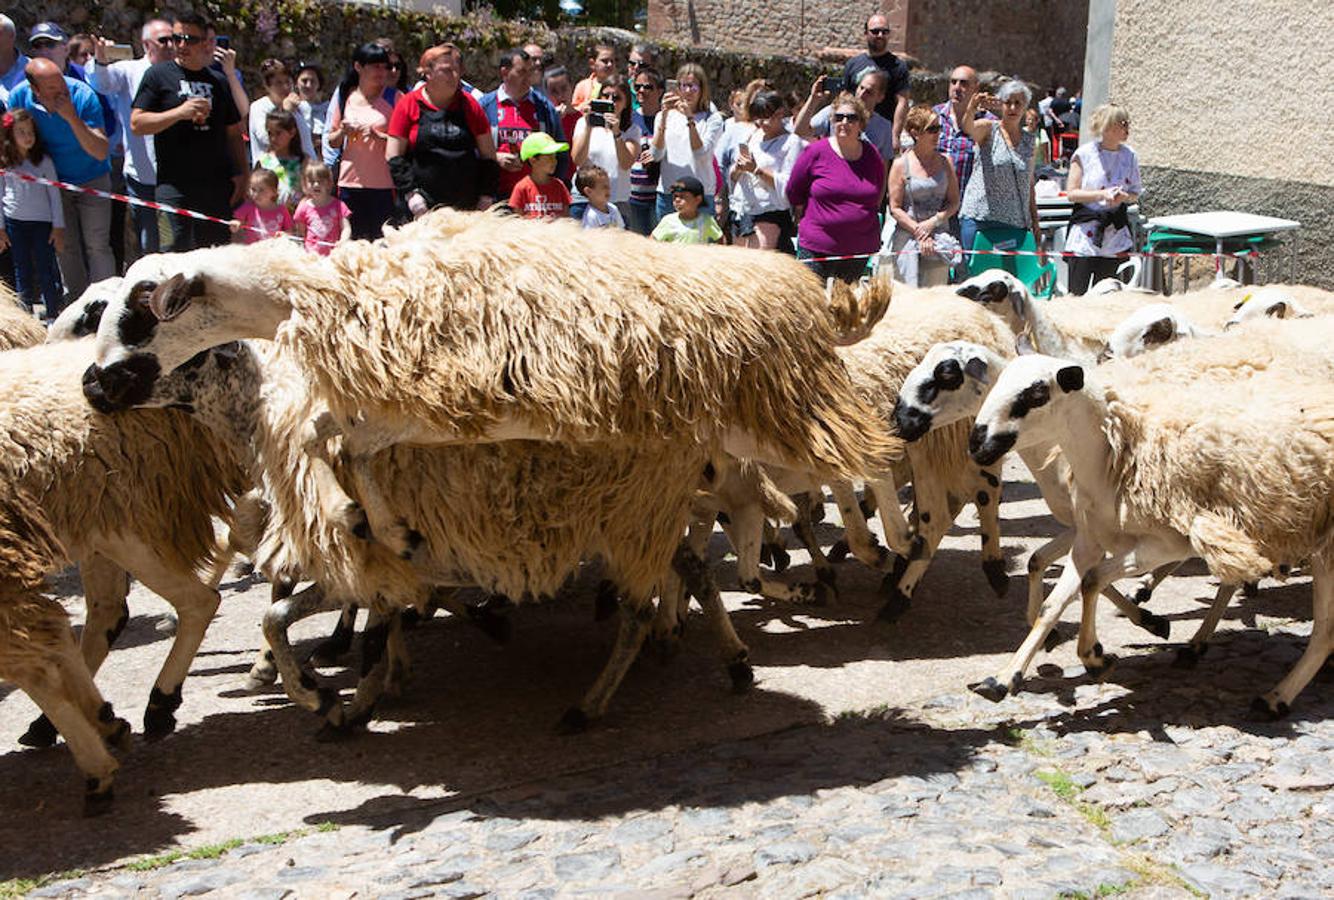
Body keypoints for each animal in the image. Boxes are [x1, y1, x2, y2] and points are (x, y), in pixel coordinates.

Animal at [965, 324, 1334, 720]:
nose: (976, 444)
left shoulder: (1166, 544)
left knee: (1323, 631)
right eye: (999, 381)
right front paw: (1004, 679)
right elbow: (1054, 601)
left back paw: (1275, 697)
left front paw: (1095, 656)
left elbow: (1092, 582)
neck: (1115, 455)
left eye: (1035, 394)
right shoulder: (1088, 539)